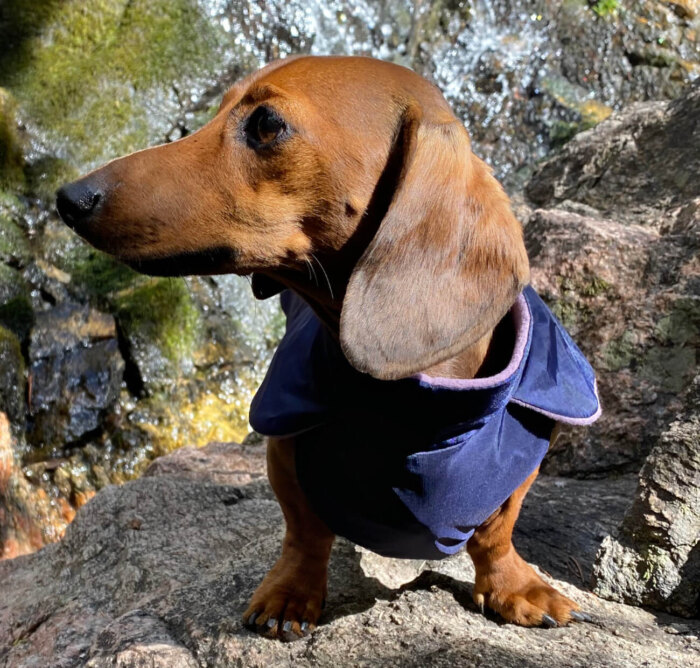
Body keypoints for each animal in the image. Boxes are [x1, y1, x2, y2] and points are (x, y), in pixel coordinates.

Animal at [56, 57, 592, 640]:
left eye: (267, 123)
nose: (69, 197)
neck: (419, 409)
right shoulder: (284, 444)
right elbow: (305, 529)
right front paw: (292, 592)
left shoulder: (527, 456)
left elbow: (496, 529)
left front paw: (514, 586)